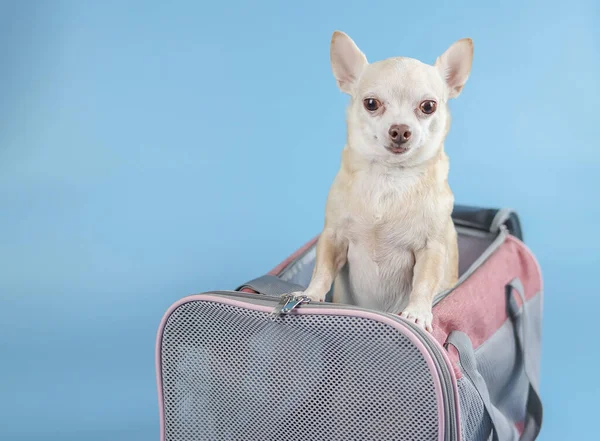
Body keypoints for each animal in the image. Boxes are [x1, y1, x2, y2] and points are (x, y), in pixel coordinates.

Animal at [292, 31, 472, 332]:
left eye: (428, 106)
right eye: (371, 104)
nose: (400, 130)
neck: (390, 177)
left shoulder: (431, 249)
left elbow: (424, 283)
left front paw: (417, 312)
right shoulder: (333, 237)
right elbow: (323, 270)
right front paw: (311, 294)